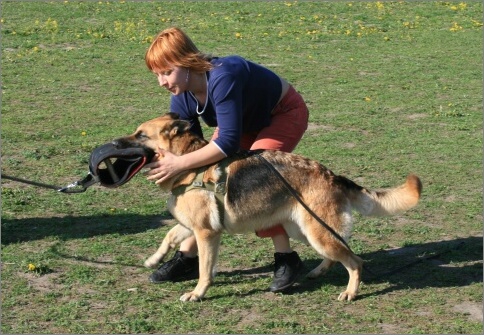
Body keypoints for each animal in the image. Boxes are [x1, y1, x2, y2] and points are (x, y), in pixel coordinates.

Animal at [112, 113, 420, 302]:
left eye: (141, 135)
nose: (114, 142)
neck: (188, 165)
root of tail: (332, 175)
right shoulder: (194, 227)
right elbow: (169, 236)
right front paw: (154, 260)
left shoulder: (207, 234)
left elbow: (204, 269)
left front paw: (197, 293)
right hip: (305, 232)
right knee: (339, 255)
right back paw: (318, 272)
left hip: (317, 233)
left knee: (355, 261)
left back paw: (350, 293)